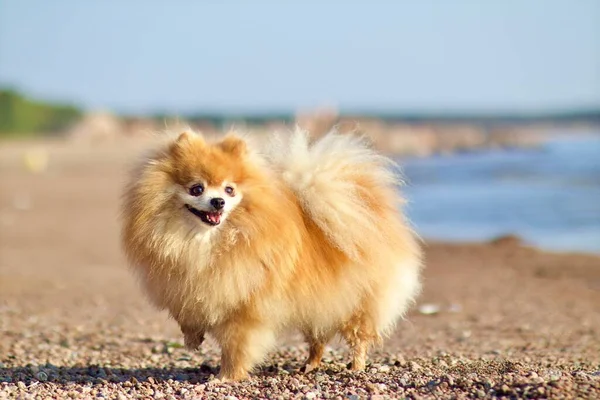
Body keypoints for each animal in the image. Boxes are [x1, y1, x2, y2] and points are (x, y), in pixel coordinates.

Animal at [122, 129, 422, 382]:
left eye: (229, 189)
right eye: (197, 188)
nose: (218, 201)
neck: (204, 243)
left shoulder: (245, 309)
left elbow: (237, 348)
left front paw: (226, 377)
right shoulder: (183, 284)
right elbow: (186, 315)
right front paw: (193, 338)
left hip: (358, 304)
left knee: (359, 337)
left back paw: (356, 367)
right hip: (320, 303)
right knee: (318, 338)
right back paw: (309, 365)